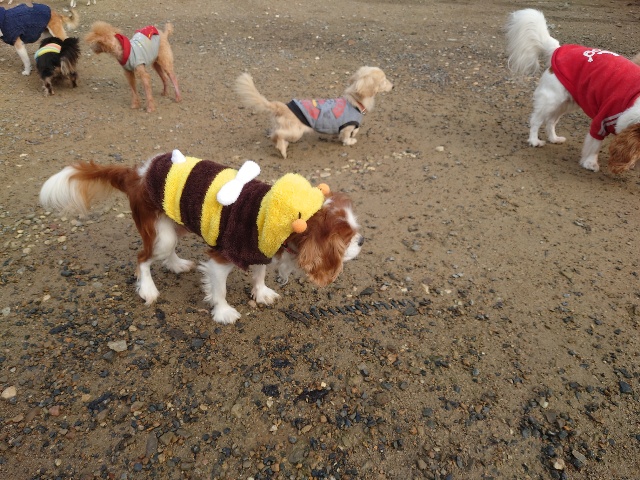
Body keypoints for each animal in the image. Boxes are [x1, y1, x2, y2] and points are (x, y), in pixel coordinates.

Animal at [39, 150, 363, 325]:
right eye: (346, 239)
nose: (362, 242)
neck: (284, 219)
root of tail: (137, 172)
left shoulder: (260, 249)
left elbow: (259, 274)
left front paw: (261, 293)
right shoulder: (220, 258)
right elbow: (219, 289)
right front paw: (223, 312)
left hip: (174, 225)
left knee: (164, 253)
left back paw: (176, 265)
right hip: (160, 234)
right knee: (142, 259)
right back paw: (148, 289)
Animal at [234, 66, 393, 158]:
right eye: (384, 80)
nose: (393, 86)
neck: (354, 101)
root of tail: (282, 106)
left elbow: (355, 130)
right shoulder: (347, 127)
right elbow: (347, 136)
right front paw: (350, 141)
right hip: (296, 131)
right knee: (276, 135)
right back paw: (282, 150)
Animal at [506, 8, 640, 173]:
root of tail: (557, 49)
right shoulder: (601, 121)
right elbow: (594, 145)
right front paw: (590, 163)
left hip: (565, 103)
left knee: (551, 121)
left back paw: (554, 139)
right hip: (551, 102)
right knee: (536, 120)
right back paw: (534, 141)